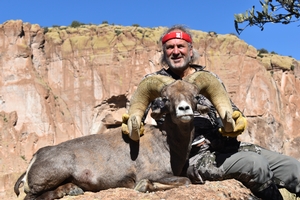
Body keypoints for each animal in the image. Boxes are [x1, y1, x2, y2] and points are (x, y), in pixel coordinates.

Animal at [13, 71, 234, 199]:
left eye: (195, 96)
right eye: (166, 98)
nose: (184, 109)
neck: (169, 146)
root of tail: (35, 158)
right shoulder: (156, 174)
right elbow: (184, 181)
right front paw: (144, 186)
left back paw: (73, 190)